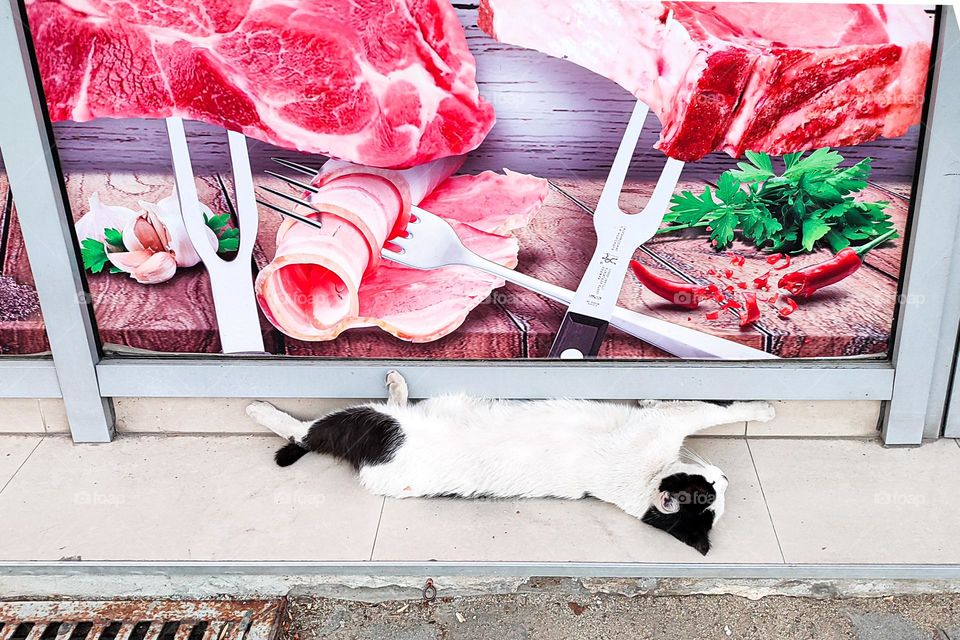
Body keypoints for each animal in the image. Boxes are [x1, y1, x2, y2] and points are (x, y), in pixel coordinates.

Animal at [246, 370, 772, 556]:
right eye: (709, 490)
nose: (726, 474)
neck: (639, 489)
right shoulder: (669, 419)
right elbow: (717, 407)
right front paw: (764, 408)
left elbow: (708, 407)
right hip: (378, 424)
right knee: (307, 432)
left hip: (376, 427)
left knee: (311, 433)